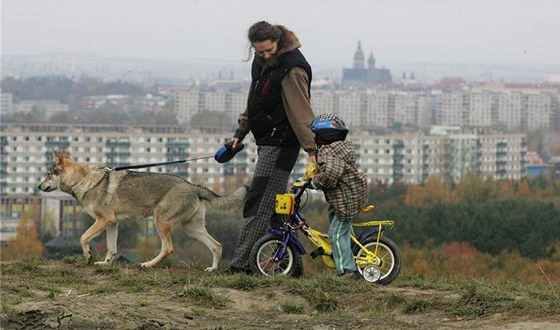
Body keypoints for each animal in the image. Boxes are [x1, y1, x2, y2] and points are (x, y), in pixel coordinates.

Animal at [38, 151, 247, 270]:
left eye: (48, 174)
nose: (38, 186)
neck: (82, 180)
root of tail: (194, 186)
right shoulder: (112, 223)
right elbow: (111, 247)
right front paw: (105, 264)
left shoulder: (103, 220)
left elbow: (83, 237)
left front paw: (88, 256)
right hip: (191, 229)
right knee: (217, 246)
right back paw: (212, 270)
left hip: (160, 222)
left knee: (168, 248)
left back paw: (147, 264)